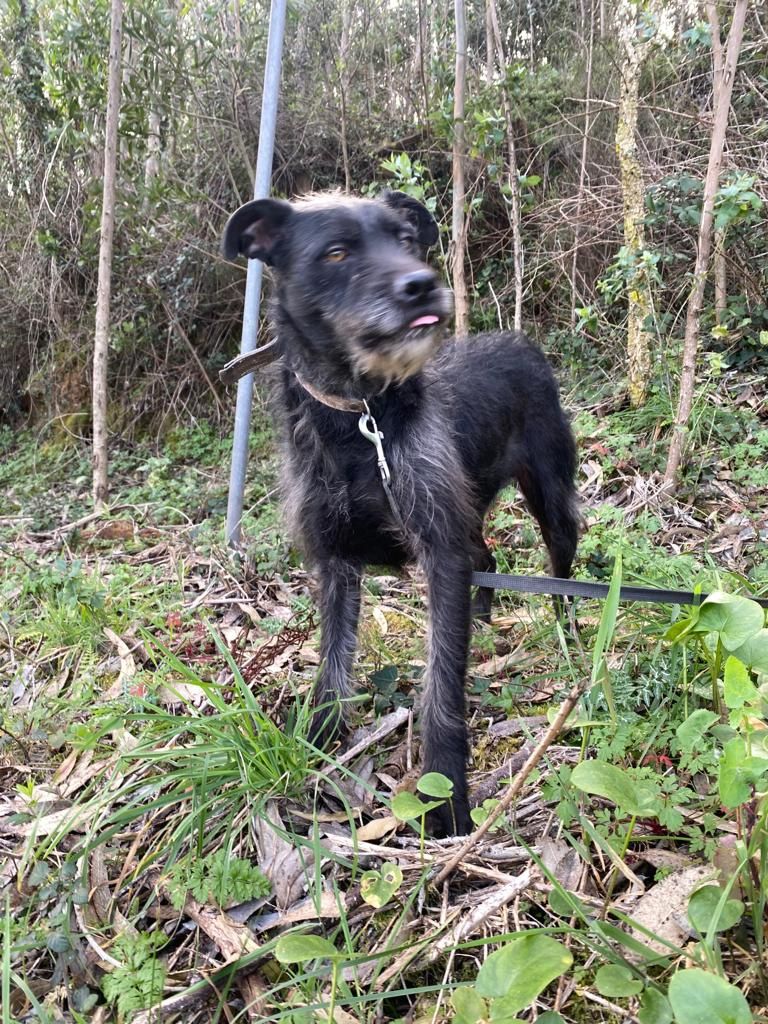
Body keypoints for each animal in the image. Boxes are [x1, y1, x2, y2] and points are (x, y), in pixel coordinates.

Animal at [222, 192, 577, 839]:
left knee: (561, 565)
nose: (422, 286)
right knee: (486, 555)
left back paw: (567, 629)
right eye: (336, 253)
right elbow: (332, 671)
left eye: (407, 241)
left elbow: (442, 688)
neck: (358, 417)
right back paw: (485, 618)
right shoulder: (337, 563)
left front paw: (447, 799)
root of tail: (518, 340)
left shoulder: (439, 552)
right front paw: (315, 749)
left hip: (550, 495)